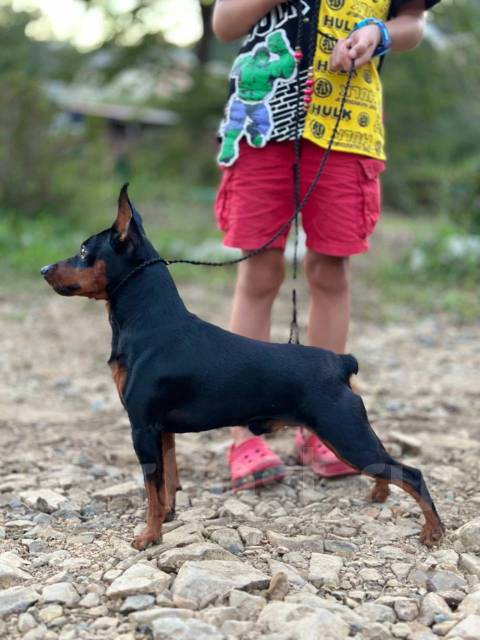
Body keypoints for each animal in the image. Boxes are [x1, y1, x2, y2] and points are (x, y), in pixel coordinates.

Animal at [41, 185, 446, 552]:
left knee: (412, 474)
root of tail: (339, 361)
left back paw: (432, 531)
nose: (44, 268)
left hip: (344, 433)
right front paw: (168, 517)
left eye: (83, 251)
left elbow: (151, 488)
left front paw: (149, 536)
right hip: (352, 432)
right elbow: (168, 481)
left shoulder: (142, 427)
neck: (149, 321)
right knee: (387, 465)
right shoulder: (161, 430)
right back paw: (380, 494)